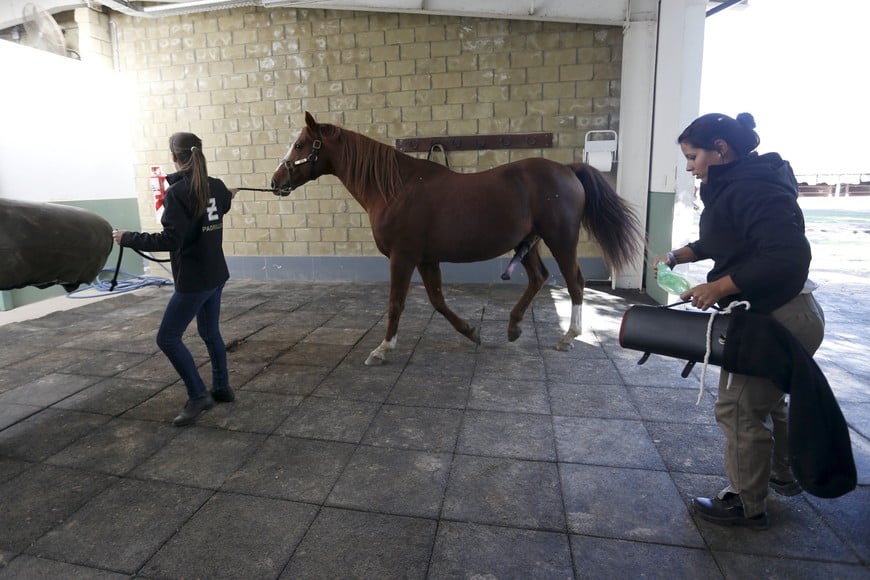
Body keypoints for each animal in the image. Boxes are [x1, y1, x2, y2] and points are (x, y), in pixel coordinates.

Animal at [271, 112, 645, 366]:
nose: (276, 182)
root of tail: (568, 170)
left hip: (561, 240)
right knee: (539, 277)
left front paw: (383, 348)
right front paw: (471, 331)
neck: (396, 189)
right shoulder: (426, 258)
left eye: (301, 145)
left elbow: (396, 303)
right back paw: (513, 328)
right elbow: (437, 300)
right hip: (528, 243)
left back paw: (568, 337)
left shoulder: (403, 257)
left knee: (575, 282)